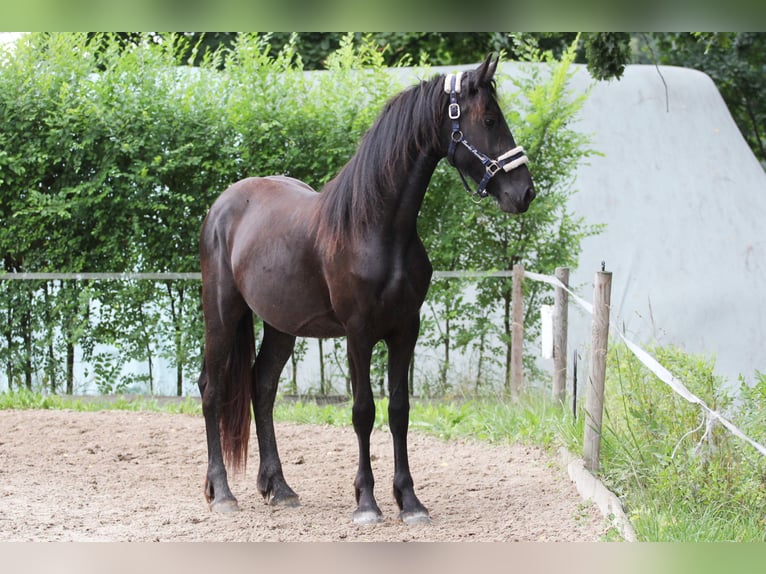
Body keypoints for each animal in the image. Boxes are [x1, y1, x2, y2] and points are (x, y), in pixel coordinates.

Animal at [197, 54, 535, 525]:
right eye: (489, 119)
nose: (525, 193)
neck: (376, 228)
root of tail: (222, 206)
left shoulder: (405, 330)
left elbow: (398, 410)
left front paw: (409, 501)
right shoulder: (358, 334)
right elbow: (363, 411)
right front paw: (367, 502)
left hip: (281, 326)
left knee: (260, 388)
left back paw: (279, 488)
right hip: (222, 313)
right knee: (211, 388)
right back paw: (222, 492)